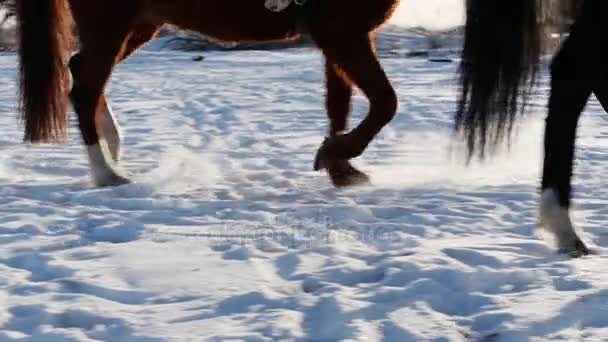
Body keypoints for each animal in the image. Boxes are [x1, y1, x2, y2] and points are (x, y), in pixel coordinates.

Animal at [15, 0, 400, 187]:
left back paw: (113, 148)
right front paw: (337, 158)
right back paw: (107, 174)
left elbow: (339, 105)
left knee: (81, 75)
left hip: (137, 26)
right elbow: (385, 103)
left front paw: (341, 168)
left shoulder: (339, 36)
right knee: (85, 90)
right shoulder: (342, 33)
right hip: (110, 27)